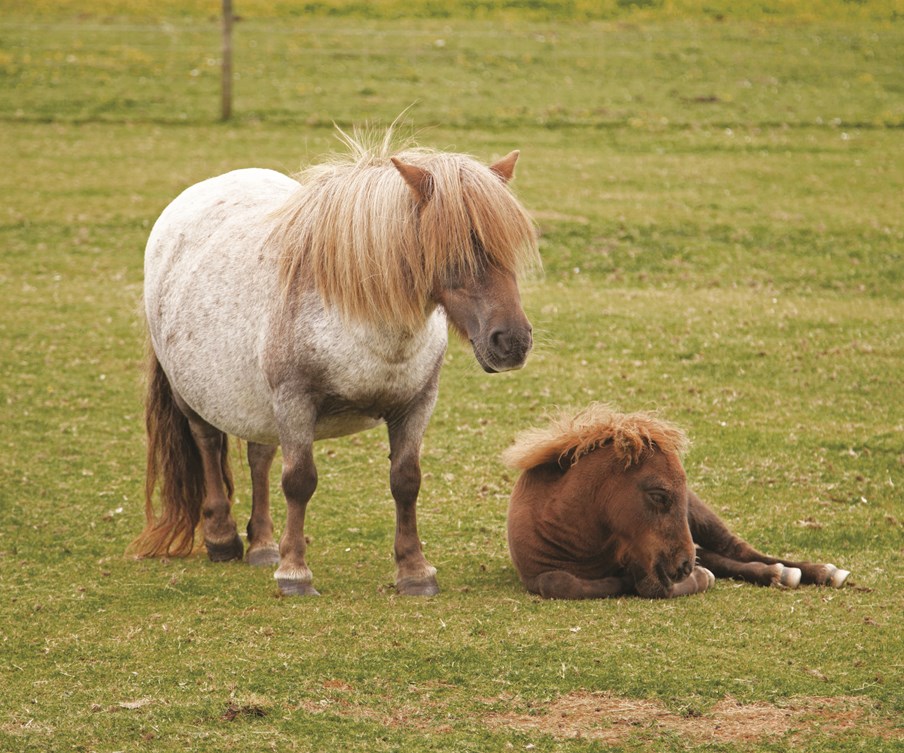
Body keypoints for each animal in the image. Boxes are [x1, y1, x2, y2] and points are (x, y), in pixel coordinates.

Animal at [132, 131, 540, 600]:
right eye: (453, 249)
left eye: (508, 247)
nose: (512, 342)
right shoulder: (295, 401)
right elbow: (299, 481)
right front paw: (294, 573)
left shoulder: (417, 403)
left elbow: (406, 481)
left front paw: (415, 572)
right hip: (195, 394)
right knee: (207, 442)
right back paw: (222, 538)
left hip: (256, 403)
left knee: (259, 456)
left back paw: (263, 545)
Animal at [504, 406, 852, 600]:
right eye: (659, 495)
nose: (684, 565)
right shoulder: (538, 574)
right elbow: (560, 583)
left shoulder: (652, 565)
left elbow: (654, 587)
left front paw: (701, 578)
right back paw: (778, 575)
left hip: (704, 523)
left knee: (739, 549)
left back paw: (819, 572)